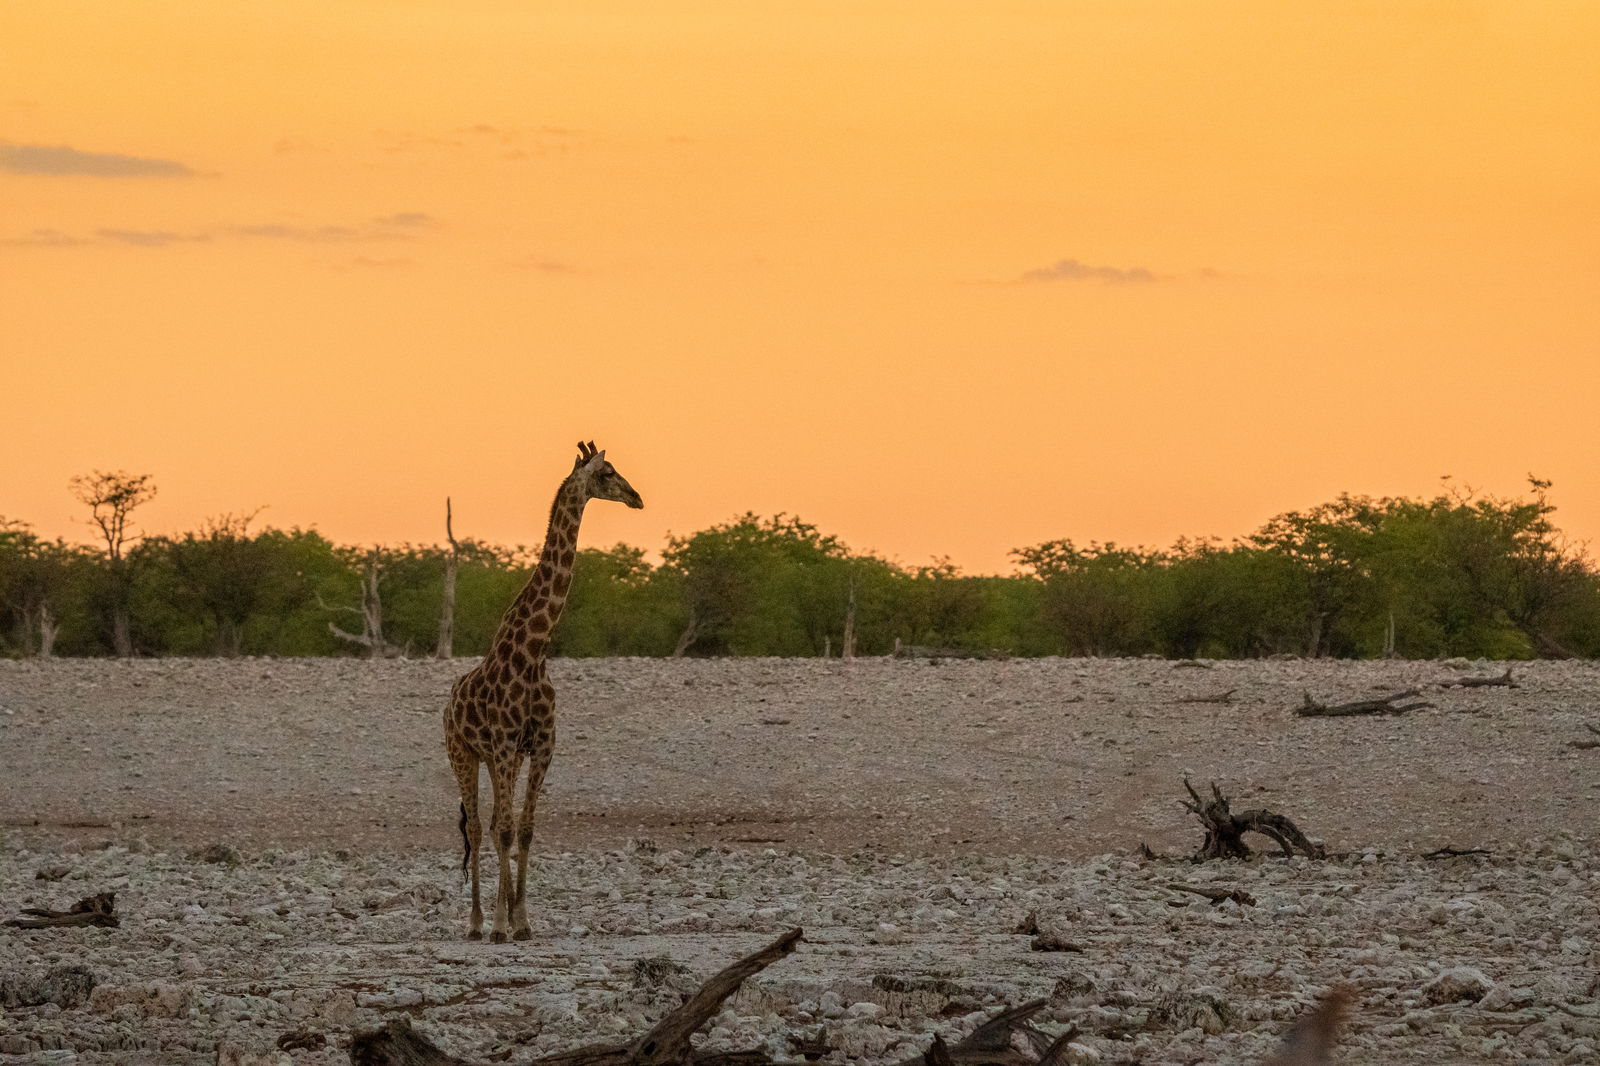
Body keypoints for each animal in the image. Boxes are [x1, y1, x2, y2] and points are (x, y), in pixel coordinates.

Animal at [443, 441, 643, 941]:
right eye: (607, 473)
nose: (637, 497)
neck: (534, 652)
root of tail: (448, 702)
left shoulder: (541, 747)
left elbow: (526, 828)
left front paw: (523, 920)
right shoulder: (502, 745)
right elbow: (503, 830)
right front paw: (500, 924)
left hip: (498, 758)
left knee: (497, 823)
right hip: (462, 753)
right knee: (479, 827)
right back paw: (476, 924)